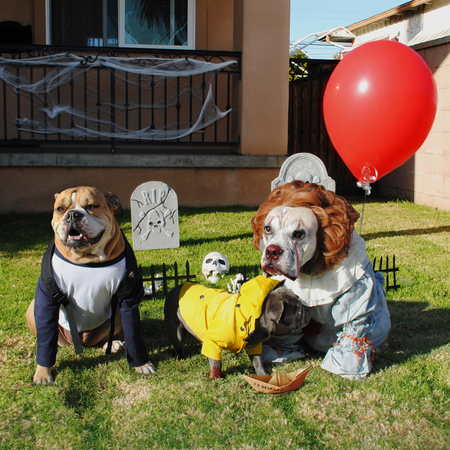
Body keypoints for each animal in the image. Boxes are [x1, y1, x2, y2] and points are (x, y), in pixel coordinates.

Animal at [26, 185, 156, 384]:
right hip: (33, 310)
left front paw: (141, 363)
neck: (87, 259)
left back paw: (112, 344)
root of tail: (81, 340)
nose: (72, 215)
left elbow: (133, 334)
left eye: (91, 206)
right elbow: (45, 340)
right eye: (60, 209)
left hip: (116, 314)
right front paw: (42, 372)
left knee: (104, 337)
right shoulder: (46, 298)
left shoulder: (128, 298)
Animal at [163, 276, 312, 378]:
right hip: (176, 330)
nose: (307, 310)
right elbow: (216, 362)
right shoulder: (214, 342)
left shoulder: (254, 344)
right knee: (178, 343)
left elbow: (258, 361)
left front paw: (263, 375)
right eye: (298, 313)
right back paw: (181, 357)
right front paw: (216, 377)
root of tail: (175, 289)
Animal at [251, 181, 392, 378]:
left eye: (299, 234)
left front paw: (348, 368)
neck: (310, 271)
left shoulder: (356, 300)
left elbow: (355, 328)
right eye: (268, 229)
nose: (272, 251)